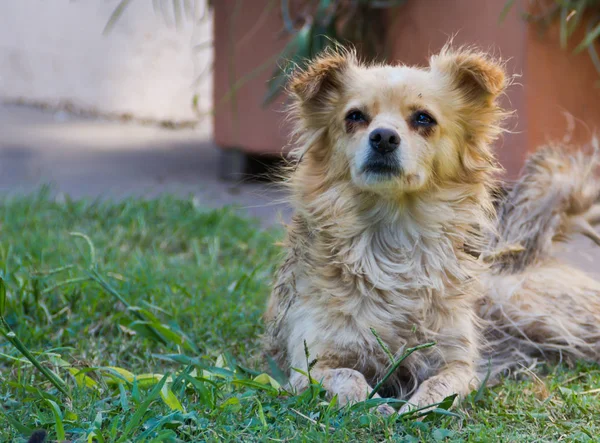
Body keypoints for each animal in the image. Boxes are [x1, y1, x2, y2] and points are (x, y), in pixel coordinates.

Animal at [264, 45, 600, 412]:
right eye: (355, 116)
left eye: (423, 118)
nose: (383, 137)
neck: (393, 236)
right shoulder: (312, 364)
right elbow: (348, 377)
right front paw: (374, 406)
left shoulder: (459, 362)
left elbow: (442, 383)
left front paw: (418, 407)